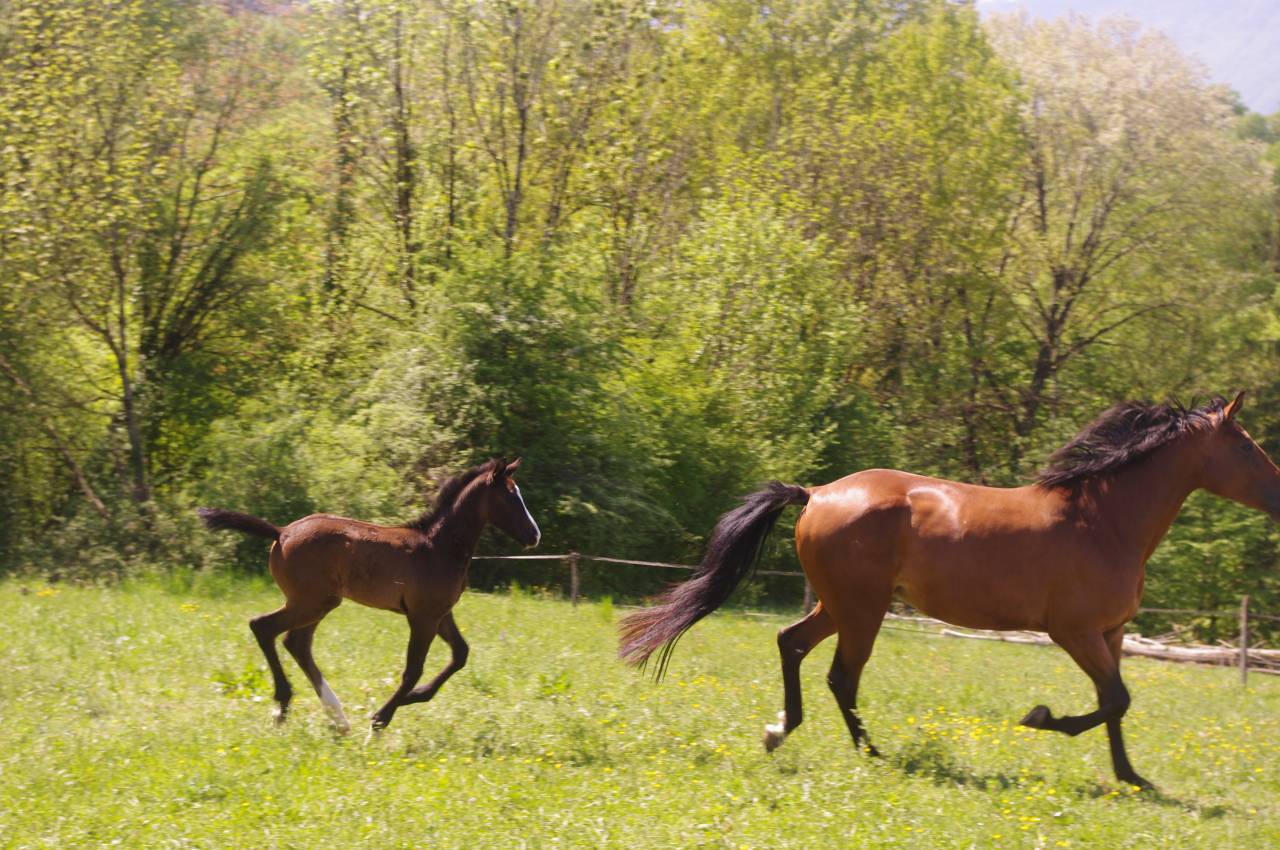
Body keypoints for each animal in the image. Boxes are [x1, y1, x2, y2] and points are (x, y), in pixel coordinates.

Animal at [198, 457, 540, 733]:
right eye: (511, 496)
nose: (534, 535)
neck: (438, 547)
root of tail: (281, 532)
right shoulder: (423, 617)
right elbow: (413, 670)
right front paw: (379, 721)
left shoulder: (441, 613)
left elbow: (460, 654)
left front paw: (415, 698)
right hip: (311, 602)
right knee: (263, 627)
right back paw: (285, 705)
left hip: (317, 603)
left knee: (296, 643)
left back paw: (336, 717)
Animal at [619, 392, 1280, 789]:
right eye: (1247, 446)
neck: (1102, 521)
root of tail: (817, 492)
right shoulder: (1074, 632)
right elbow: (1114, 700)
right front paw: (1042, 719)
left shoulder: (1110, 632)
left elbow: (1116, 703)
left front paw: (1131, 778)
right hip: (863, 609)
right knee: (840, 676)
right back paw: (872, 754)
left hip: (839, 604)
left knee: (792, 644)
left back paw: (780, 730)